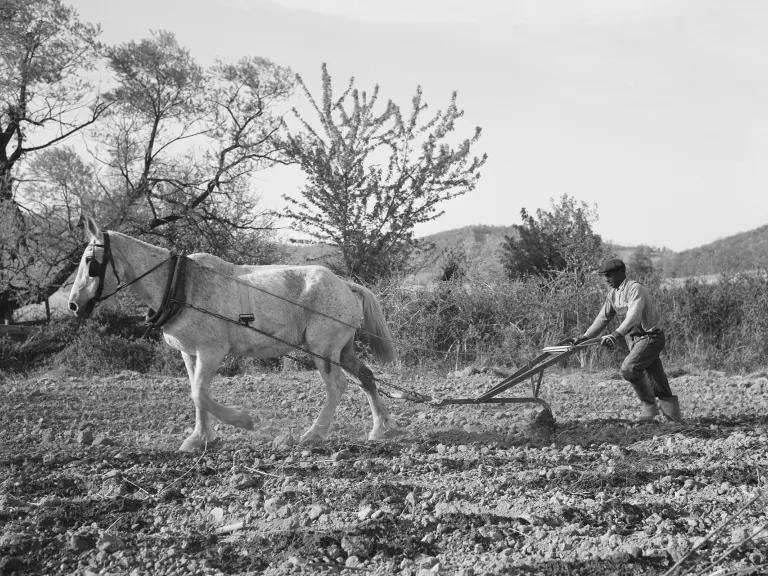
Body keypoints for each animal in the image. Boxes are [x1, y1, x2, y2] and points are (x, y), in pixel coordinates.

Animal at [68, 218, 400, 452]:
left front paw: (243, 420)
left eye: (89, 261)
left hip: (324, 349)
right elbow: (197, 394)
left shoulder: (212, 351)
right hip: (343, 349)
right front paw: (199, 439)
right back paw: (379, 429)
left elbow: (199, 393)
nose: (73, 304)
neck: (180, 284)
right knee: (366, 378)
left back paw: (314, 433)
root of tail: (346, 285)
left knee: (337, 386)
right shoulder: (189, 353)